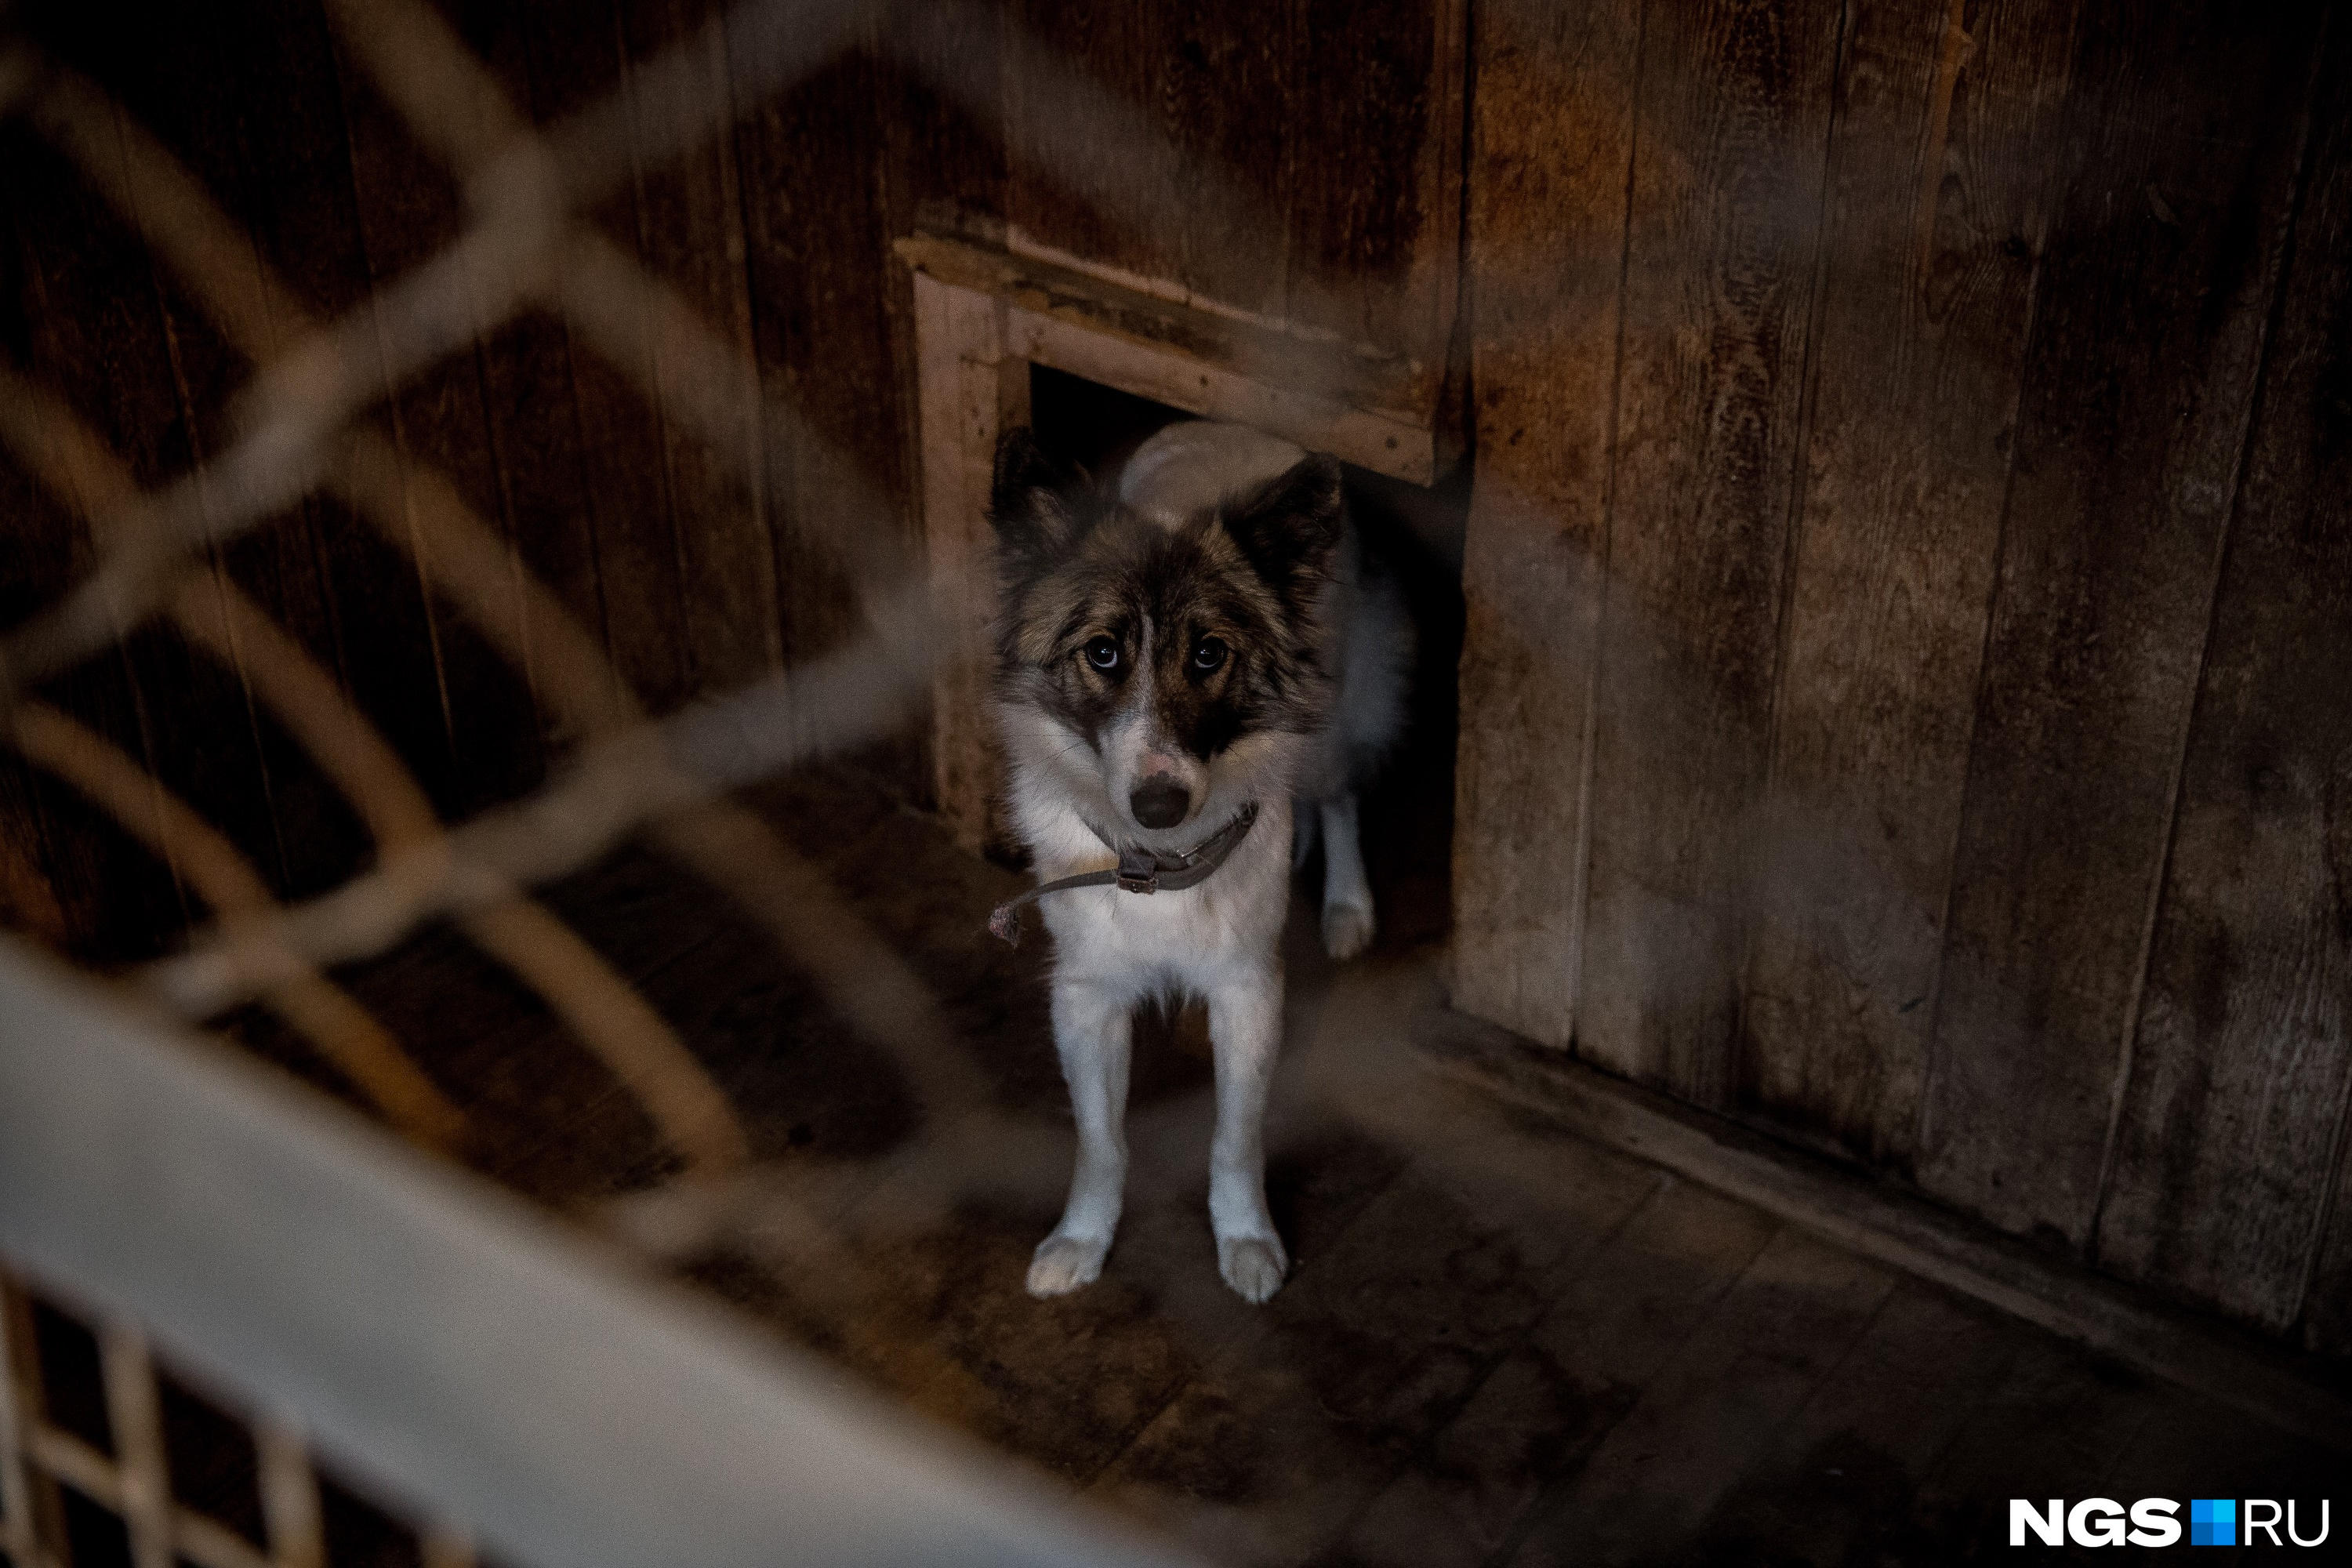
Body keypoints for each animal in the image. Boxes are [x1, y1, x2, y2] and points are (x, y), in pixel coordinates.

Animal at [983, 413, 1402, 1298]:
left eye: (1210, 655)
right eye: (1102, 653)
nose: (1159, 802)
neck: (1160, 863)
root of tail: (1229, 423)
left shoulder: (1248, 994)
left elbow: (1234, 1141)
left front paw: (1246, 1238)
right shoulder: (1086, 998)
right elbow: (1101, 1143)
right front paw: (1083, 1239)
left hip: (1328, 731)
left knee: (1340, 797)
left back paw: (1348, 909)